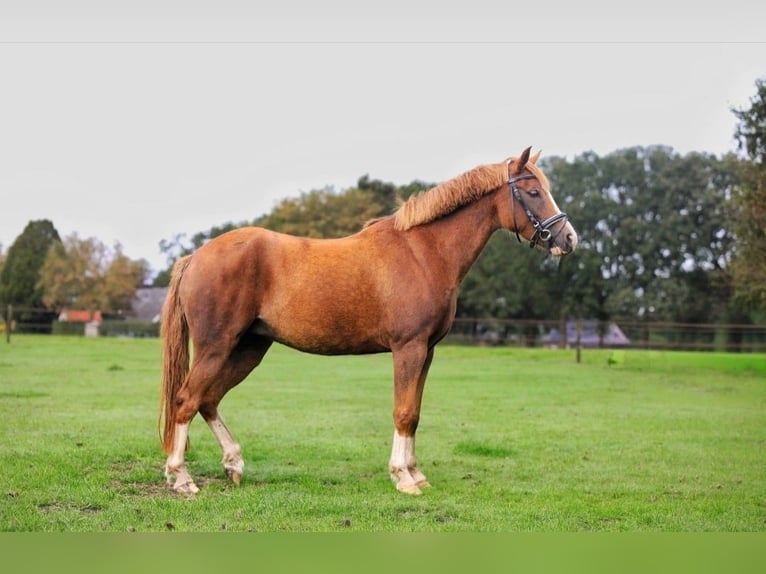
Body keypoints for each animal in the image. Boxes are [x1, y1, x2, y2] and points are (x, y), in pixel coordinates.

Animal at [159, 147, 577, 495]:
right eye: (533, 192)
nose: (569, 238)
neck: (423, 252)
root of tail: (196, 256)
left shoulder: (427, 352)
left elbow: (415, 413)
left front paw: (416, 474)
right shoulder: (408, 348)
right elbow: (403, 411)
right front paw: (403, 478)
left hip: (249, 347)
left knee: (208, 399)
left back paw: (233, 464)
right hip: (217, 347)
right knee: (186, 399)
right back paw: (181, 478)